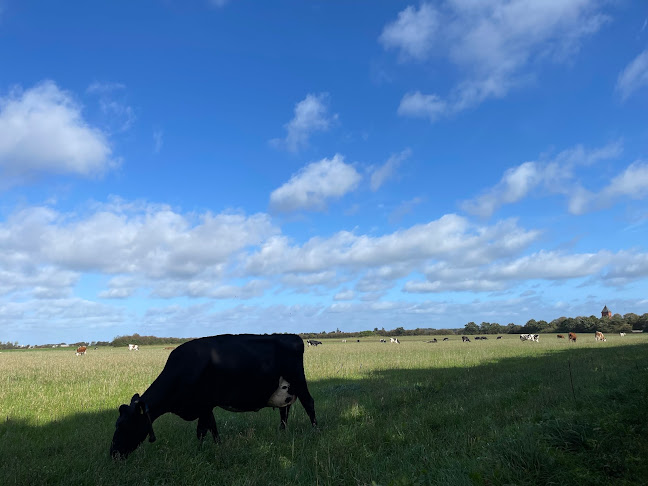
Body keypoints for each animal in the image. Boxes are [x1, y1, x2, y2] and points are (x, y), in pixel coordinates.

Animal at [110, 332, 316, 462]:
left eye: (125, 426)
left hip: (298, 379)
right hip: (285, 389)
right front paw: (216, 447)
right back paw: (282, 432)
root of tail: (293, 337)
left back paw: (316, 430)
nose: (113, 454)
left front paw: (201, 451)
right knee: (284, 410)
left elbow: (201, 430)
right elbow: (212, 428)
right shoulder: (206, 406)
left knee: (308, 403)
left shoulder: (204, 403)